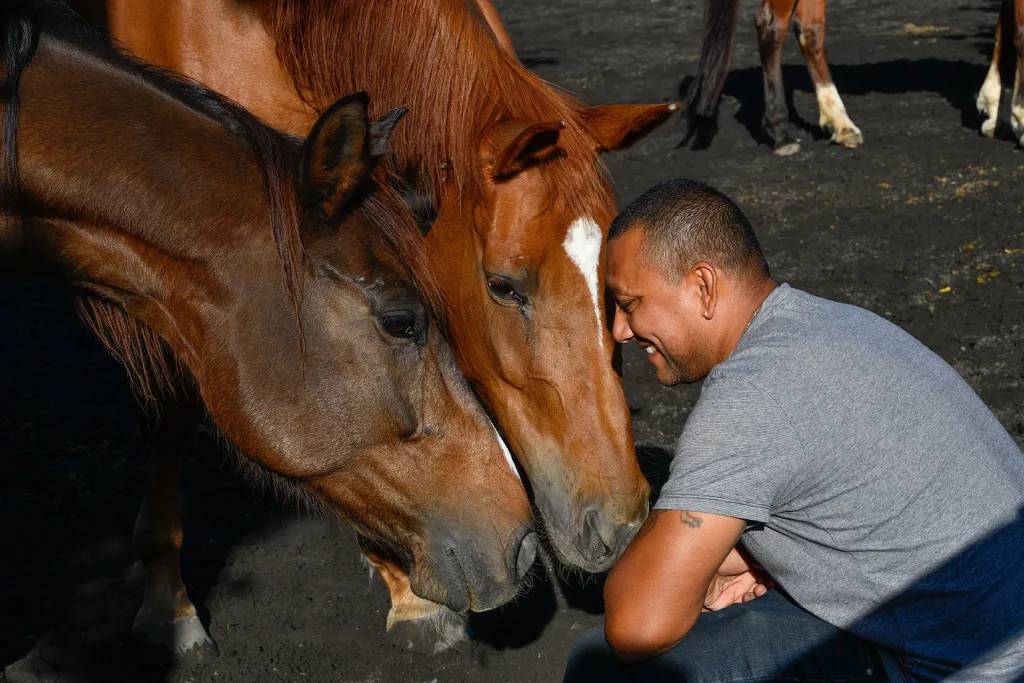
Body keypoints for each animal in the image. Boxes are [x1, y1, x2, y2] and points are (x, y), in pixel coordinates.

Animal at [679, 0, 1024, 154]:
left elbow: (1004, 26)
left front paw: (994, 113)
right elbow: (1018, 32)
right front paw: (1018, 118)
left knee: (809, 30)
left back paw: (840, 123)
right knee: (772, 25)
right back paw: (781, 132)